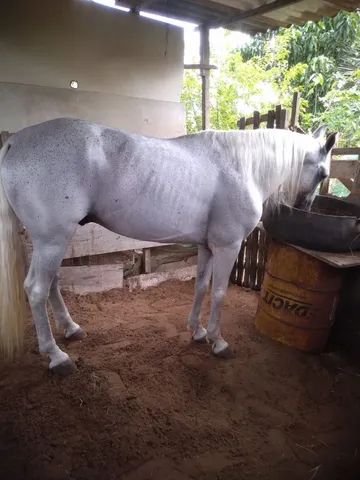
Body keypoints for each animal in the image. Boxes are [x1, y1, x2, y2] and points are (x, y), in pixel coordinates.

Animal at [0, 120, 336, 376]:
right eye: (323, 174)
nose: (305, 208)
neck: (244, 166)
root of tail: (14, 142)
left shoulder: (207, 246)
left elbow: (200, 286)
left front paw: (197, 331)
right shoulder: (228, 246)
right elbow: (219, 292)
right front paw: (218, 341)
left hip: (51, 241)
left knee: (52, 283)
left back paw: (71, 329)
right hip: (52, 240)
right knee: (36, 289)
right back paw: (56, 356)